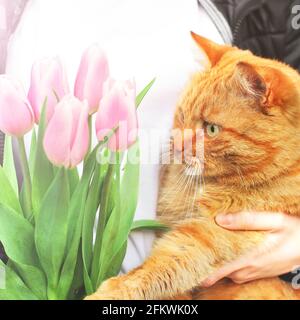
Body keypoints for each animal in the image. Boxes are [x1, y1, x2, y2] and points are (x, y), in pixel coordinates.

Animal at [85, 33, 300, 300]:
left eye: (212, 129)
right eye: (182, 115)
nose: (176, 145)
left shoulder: (213, 233)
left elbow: (162, 265)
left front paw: (114, 290)